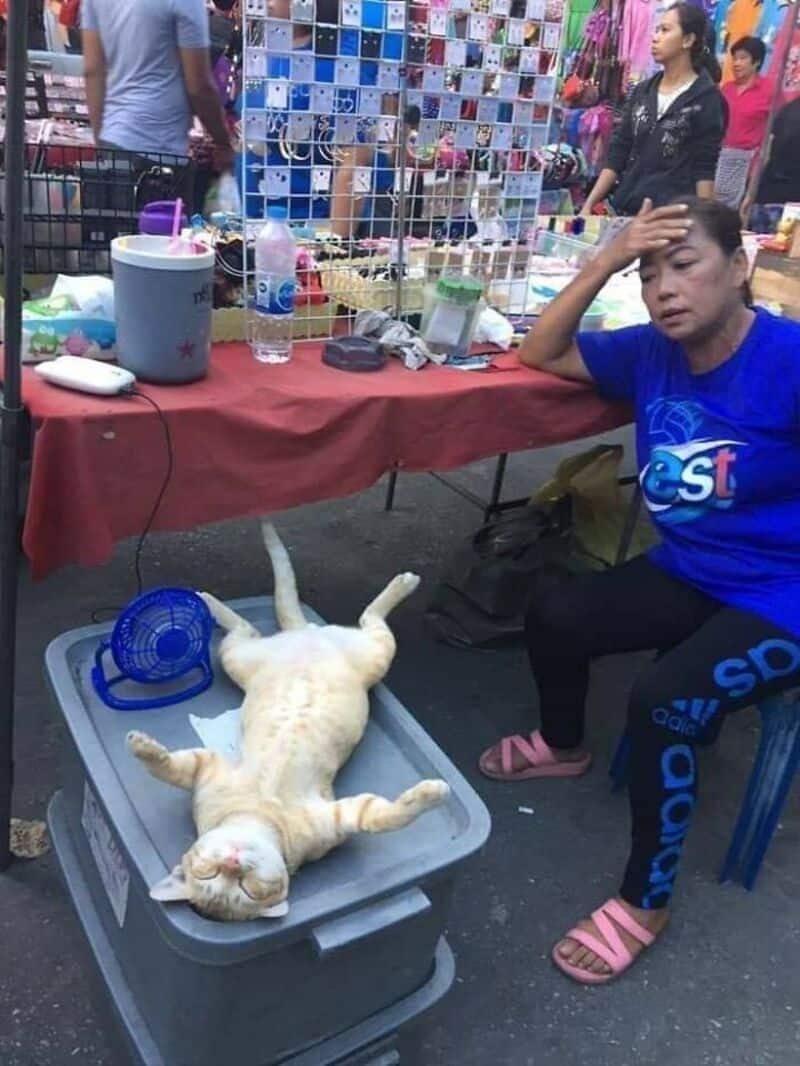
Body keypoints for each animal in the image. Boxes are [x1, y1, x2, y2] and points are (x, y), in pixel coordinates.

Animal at [127, 521, 449, 921]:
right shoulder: (342, 815)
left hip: (263, 656)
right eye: (228, 883)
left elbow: (167, 765)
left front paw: (142, 745)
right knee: (289, 625)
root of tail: (305, 632)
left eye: (211, 871)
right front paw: (435, 792)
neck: (257, 812)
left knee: (346, 617)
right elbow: (385, 816)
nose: (233, 862)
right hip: (297, 654)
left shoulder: (206, 768)